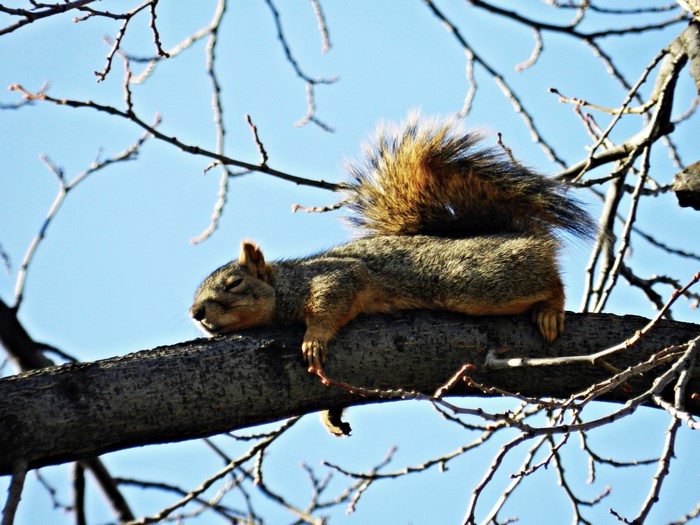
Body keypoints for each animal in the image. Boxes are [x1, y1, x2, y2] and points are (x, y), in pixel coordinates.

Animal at [190, 114, 595, 436]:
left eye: (234, 283)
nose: (196, 313)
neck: (285, 284)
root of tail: (517, 235)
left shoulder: (334, 276)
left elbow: (332, 302)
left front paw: (314, 340)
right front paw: (331, 417)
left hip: (477, 282)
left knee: (548, 280)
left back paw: (550, 309)